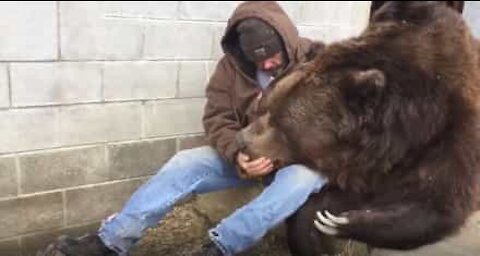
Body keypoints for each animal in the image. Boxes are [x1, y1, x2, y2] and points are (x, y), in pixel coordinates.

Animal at [235, 1, 480, 254]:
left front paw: (341, 222)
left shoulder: (450, 135)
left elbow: (437, 203)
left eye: (281, 123)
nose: (241, 140)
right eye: (265, 106)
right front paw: (319, 225)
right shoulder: (363, 163)